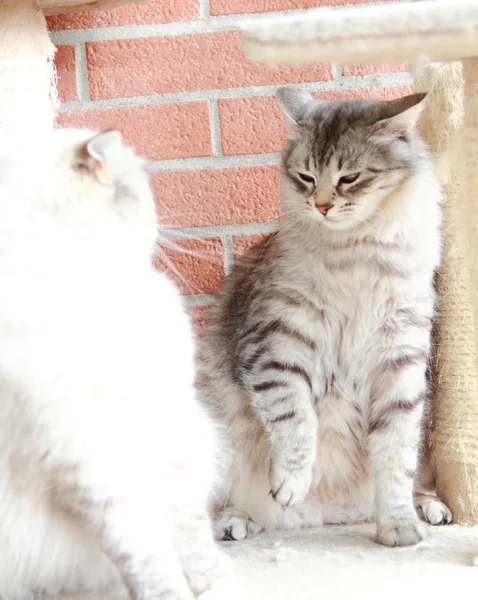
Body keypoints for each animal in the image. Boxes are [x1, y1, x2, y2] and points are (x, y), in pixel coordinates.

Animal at [0, 130, 232, 600]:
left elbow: (191, 532)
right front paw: (171, 595)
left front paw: (214, 583)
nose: (160, 217)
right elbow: (144, 552)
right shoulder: (91, 462)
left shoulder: (165, 432)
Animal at [198, 86, 452, 548]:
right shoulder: (278, 344)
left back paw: (430, 509)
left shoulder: (401, 359)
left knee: (419, 478)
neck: (355, 252)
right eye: (306, 177)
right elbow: (297, 421)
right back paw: (239, 520)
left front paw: (399, 527)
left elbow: (395, 458)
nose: (320, 207)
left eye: (348, 178)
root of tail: (331, 515)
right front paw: (291, 484)